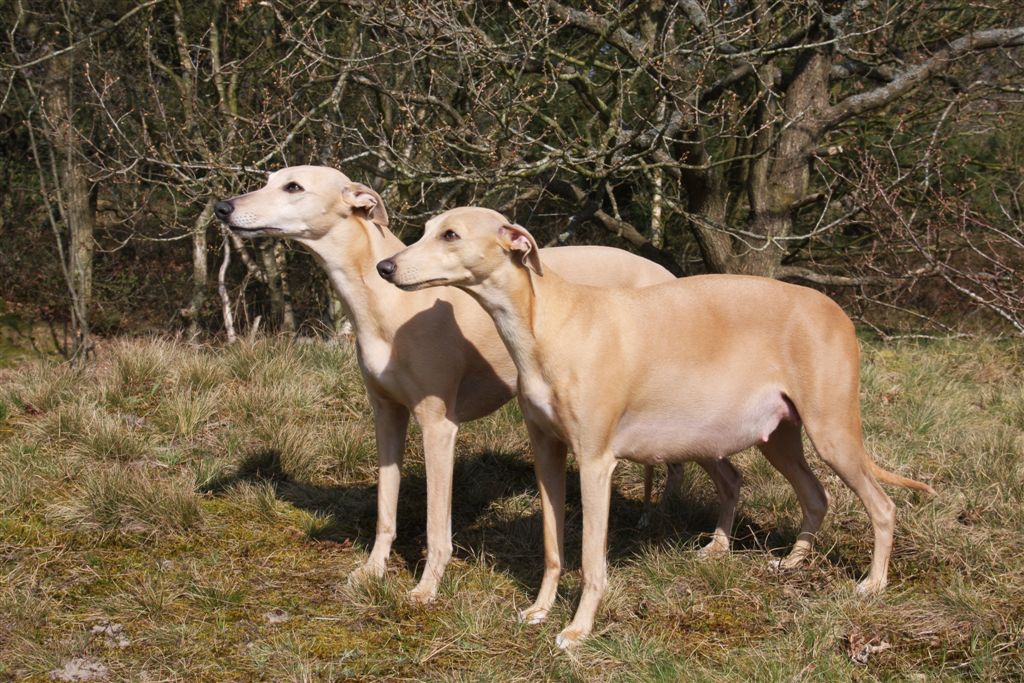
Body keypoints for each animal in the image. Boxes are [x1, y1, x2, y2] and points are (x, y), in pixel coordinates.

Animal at [214, 167, 739, 602]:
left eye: (293, 186)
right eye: (269, 177)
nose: (223, 207)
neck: (385, 303)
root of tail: (663, 270)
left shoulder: (437, 424)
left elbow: (435, 525)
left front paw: (426, 588)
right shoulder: (387, 415)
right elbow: (385, 508)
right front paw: (371, 571)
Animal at [377, 206, 935, 647]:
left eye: (451, 234)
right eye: (425, 229)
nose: (385, 266)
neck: (550, 321)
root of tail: (836, 310)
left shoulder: (596, 463)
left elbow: (591, 561)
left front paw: (577, 630)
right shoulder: (548, 455)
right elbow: (554, 548)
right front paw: (539, 610)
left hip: (832, 431)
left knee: (882, 506)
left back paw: (872, 585)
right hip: (780, 436)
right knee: (815, 495)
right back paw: (792, 563)